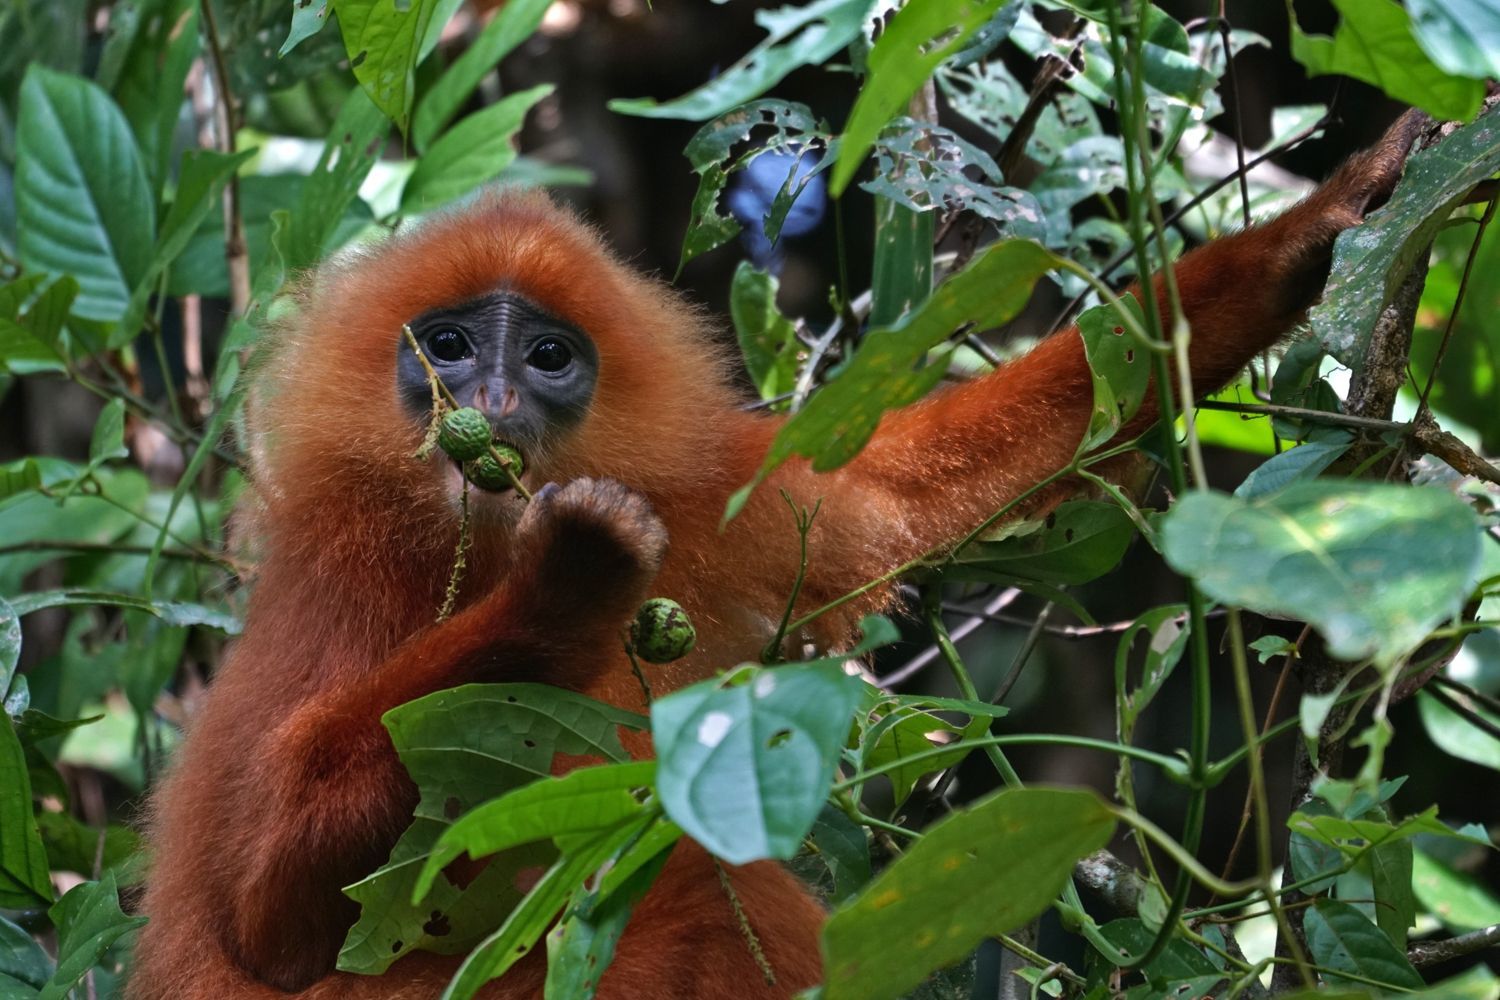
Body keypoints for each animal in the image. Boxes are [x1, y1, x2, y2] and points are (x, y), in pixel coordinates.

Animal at [126, 113, 1416, 995]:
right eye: (446, 347)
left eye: (546, 356)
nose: (489, 398)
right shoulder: (345, 572)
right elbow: (266, 918)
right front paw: (567, 581)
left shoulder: (716, 506)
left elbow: (901, 486)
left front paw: (1308, 236)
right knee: (689, 880)